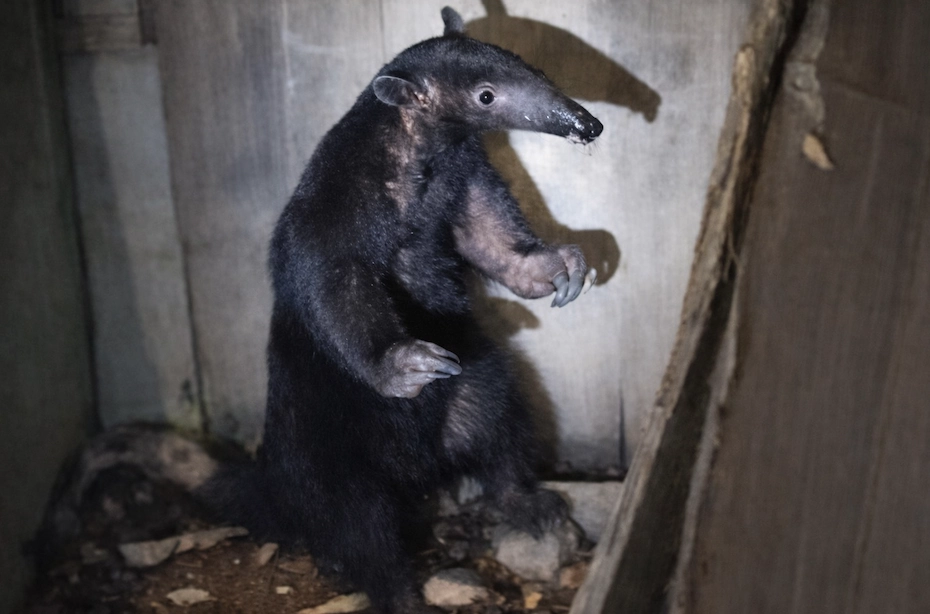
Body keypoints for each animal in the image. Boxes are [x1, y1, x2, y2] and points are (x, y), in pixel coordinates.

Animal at [209, 7, 603, 614]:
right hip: (326, 448)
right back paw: (399, 591)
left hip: (472, 384)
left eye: (529, 64)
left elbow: (492, 240)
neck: (415, 154)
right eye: (486, 96)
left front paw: (563, 269)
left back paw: (528, 503)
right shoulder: (333, 205)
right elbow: (336, 280)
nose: (589, 125)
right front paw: (407, 363)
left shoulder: (466, 173)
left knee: (495, 420)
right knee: (359, 523)